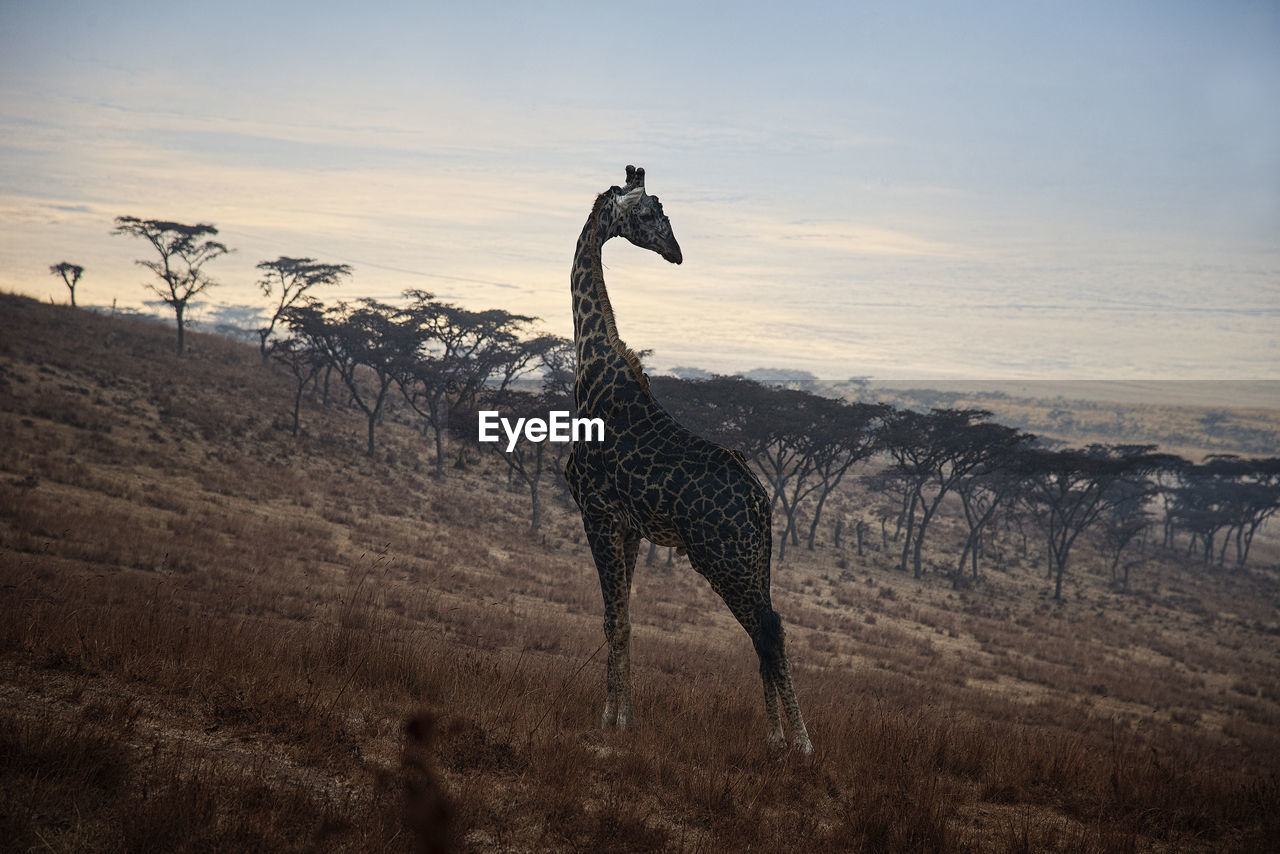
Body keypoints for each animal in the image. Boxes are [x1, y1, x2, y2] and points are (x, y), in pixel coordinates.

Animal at [568, 163, 814, 752]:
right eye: (646, 212)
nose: (676, 252)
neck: (591, 368)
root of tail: (761, 502)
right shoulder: (628, 527)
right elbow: (622, 618)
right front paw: (619, 716)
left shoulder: (596, 511)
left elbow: (615, 619)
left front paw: (615, 723)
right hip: (754, 557)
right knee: (765, 628)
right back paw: (776, 738)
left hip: (721, 557)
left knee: (769, 628)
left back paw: (800, 743)